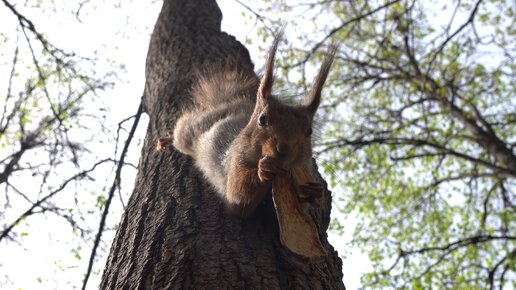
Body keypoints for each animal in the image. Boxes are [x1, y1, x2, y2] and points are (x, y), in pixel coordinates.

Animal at [159, 33, 336, 218]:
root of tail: (233, 105)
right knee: (183, 128)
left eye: (309, 131)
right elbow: (238, 195)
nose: (283, 151)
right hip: (191, 131)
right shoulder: (235, 159)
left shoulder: (301, 170)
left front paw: (313, 191)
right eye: (262, 120)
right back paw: (167, 138)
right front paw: (264, 169)